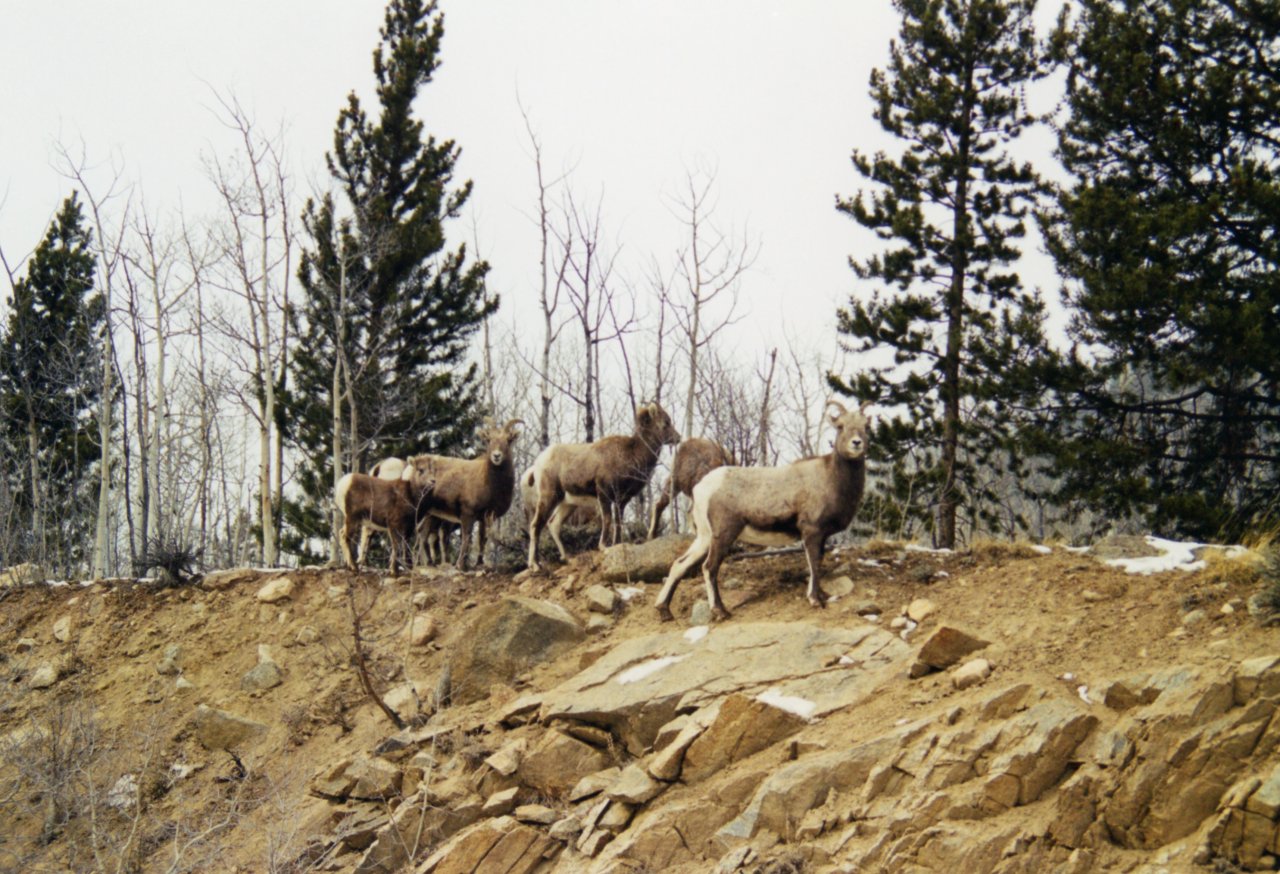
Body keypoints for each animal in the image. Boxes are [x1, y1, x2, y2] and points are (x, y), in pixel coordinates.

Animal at [414, 419, 524, 570]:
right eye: (488, 440)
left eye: (509, 439)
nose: (496, 456)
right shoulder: (468, 514)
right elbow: (466, 538)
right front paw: (460, 565)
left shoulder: (486, 517)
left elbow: (482, 539)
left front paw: (480, 563)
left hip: (431, 515)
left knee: (423, 534)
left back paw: (429, 563)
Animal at [522, 401, 680, 570]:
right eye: (665, 422)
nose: (678, 438)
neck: (632, 455)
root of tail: (536, 466)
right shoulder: (604, 493)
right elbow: (608, 519)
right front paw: (603, 546)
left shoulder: (621, 500)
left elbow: (618, 522)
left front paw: (617, 543)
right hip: (549, 497)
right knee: (536, 524)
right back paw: (535, 564)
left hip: (567, 503)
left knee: (554, 524)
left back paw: (567, 558)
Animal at [660, 399, 870, 624]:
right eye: (840, 426)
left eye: (865, 426)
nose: (857, 443)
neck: (832, 478)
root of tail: (701, 488)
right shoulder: (812, 532)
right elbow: (814, 563)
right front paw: (815, 600)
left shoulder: (821, 536)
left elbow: (819, 561)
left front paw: (822, 595)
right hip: (723, 535)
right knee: (709, 567)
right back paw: (720, 611)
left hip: (704, 538)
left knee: (679, 564)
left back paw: (664, 611)